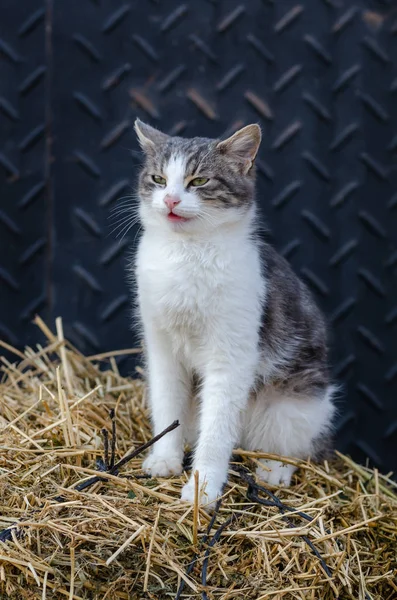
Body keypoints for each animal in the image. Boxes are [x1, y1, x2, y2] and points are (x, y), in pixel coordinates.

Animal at [132, 118, 334, 510]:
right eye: (159, 179)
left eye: (199, 181)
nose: (170, 199)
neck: (187, 252)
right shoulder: (161, 347)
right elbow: (167, 403)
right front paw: (165, 458)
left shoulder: (232, 355)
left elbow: (217, 428)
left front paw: (203, 488)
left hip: (300, 401)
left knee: (297, 445)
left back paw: (275, 469)